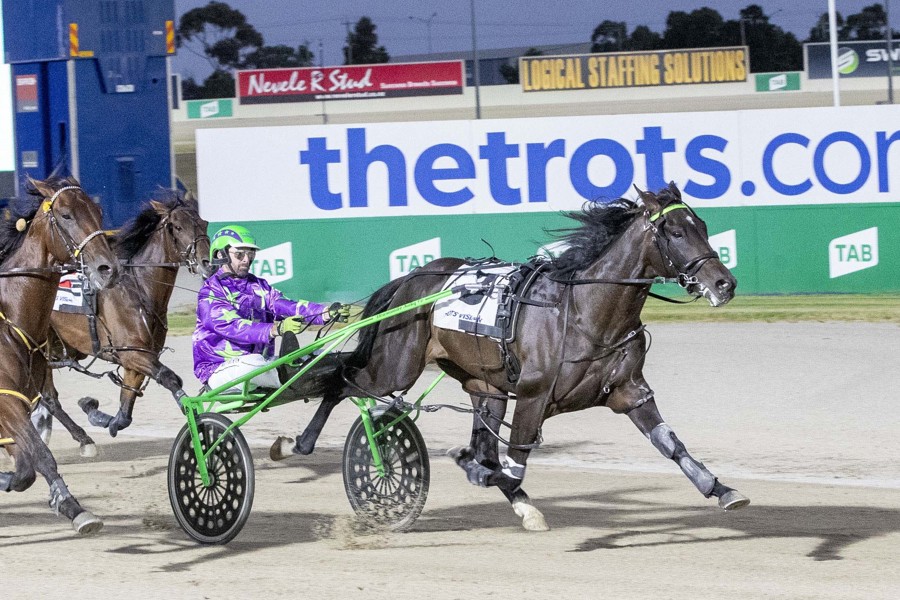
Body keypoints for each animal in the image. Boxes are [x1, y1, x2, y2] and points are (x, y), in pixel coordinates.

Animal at [0, 176, 120, 534]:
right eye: (66, 215)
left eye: (97, 211)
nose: (108, 268)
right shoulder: (6, 398)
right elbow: (38, 457)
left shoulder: (20, 402)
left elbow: (29, 464)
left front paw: (69, 504)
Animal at [33, 194, 213, 456]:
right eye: (177, 227)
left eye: (203, 223)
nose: (207, 262)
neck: (139, 289)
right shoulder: (133, 353)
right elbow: (170, 378)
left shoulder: (137, 358)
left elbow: (125, 411)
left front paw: (97, 412)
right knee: (49, 398)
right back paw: (83, 440)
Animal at [281, 182, 749, 531]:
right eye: (675, 232)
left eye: (702, 224)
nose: (724, 284)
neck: (584, 312)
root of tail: (412, 277)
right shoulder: (533, 393)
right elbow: (513, 458)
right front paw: (477, 468)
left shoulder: (629, 391)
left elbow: (670, 443)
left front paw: (722, 490)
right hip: (394, 368)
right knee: (342, 378)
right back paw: (296, 443)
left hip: (484, 385)